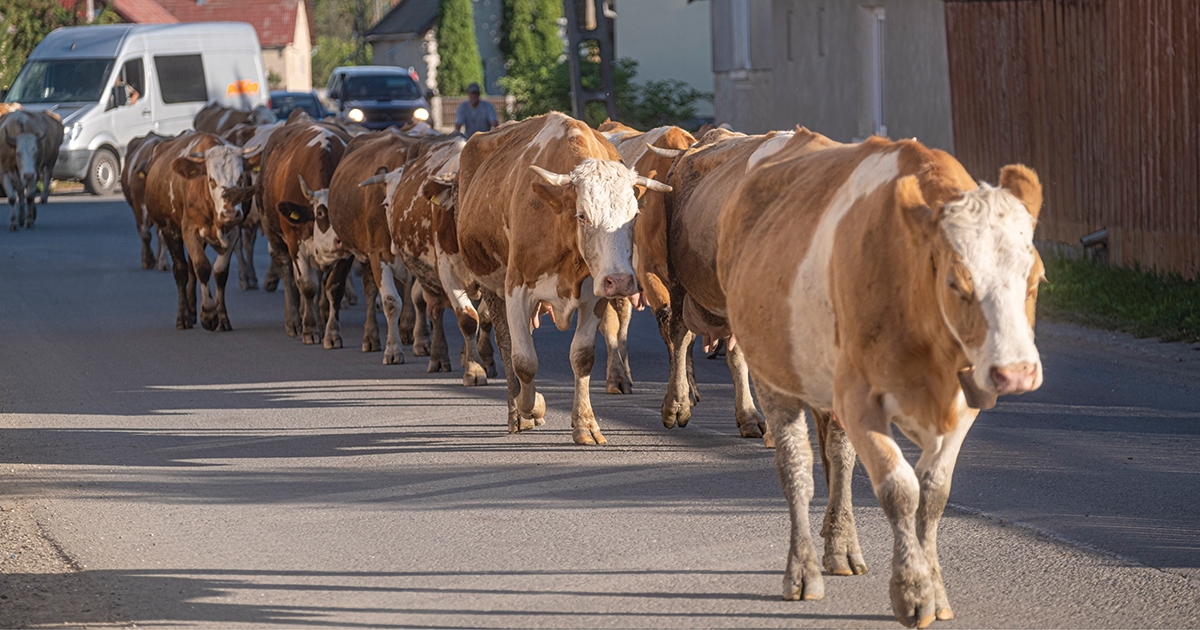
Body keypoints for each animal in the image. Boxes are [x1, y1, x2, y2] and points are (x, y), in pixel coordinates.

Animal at [139, 130, 254, 331]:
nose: (230, 213)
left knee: (190, 267)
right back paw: (183, 317)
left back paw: (192, 311)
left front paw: (221, 318)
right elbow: (202, 267)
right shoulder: (189, 230)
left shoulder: (234, 231)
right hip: (170, 230)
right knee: (181, 270)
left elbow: (219, 272)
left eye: (241, 178)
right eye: (211, 180)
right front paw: (208, 315)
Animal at [260, 117, 352, 343]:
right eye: (320, 213)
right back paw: (294, 320)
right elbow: (307, 285)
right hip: (273, 233)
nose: (341, 240)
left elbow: (334, 287)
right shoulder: (295, 241)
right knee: (285, 269)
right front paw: (310, 329)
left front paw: (332, 333)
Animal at [453, 110, 672, 444]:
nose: (620, 281)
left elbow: (582, 357)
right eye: (583, 215)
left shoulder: (595, 295)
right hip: (492, 285)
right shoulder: (517, 289)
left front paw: (585, 424)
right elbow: (524, 361)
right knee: (505, 343)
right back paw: (517, 412)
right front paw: (532, 406)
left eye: (634, 215)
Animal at [715, 130, 1046, 624]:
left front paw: (936, 591)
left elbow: (933, 493)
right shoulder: (858, 397)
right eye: (956, 283)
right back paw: (803, 571)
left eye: (1036, 279)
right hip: (772, 373)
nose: (1017, 373)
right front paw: (911, 591)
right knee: (796, 469)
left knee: (839, 458)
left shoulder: (963, 403)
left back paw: (842, 548)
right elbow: (899, 489)